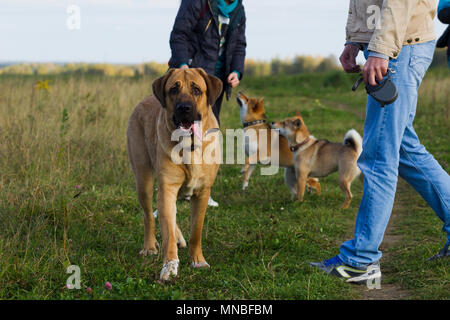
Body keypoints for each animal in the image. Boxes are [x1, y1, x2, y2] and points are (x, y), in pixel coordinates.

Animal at [127, 67, 222, 280]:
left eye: (196, 89)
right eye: (173, 89)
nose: (184, 108)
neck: (189, 146)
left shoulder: (202, 192)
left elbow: (196, 231)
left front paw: (198, 260)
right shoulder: (168, 187)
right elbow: (167, 232)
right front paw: (170, 266)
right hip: (143, 180)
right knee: (149, 215)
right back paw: (149, 246)